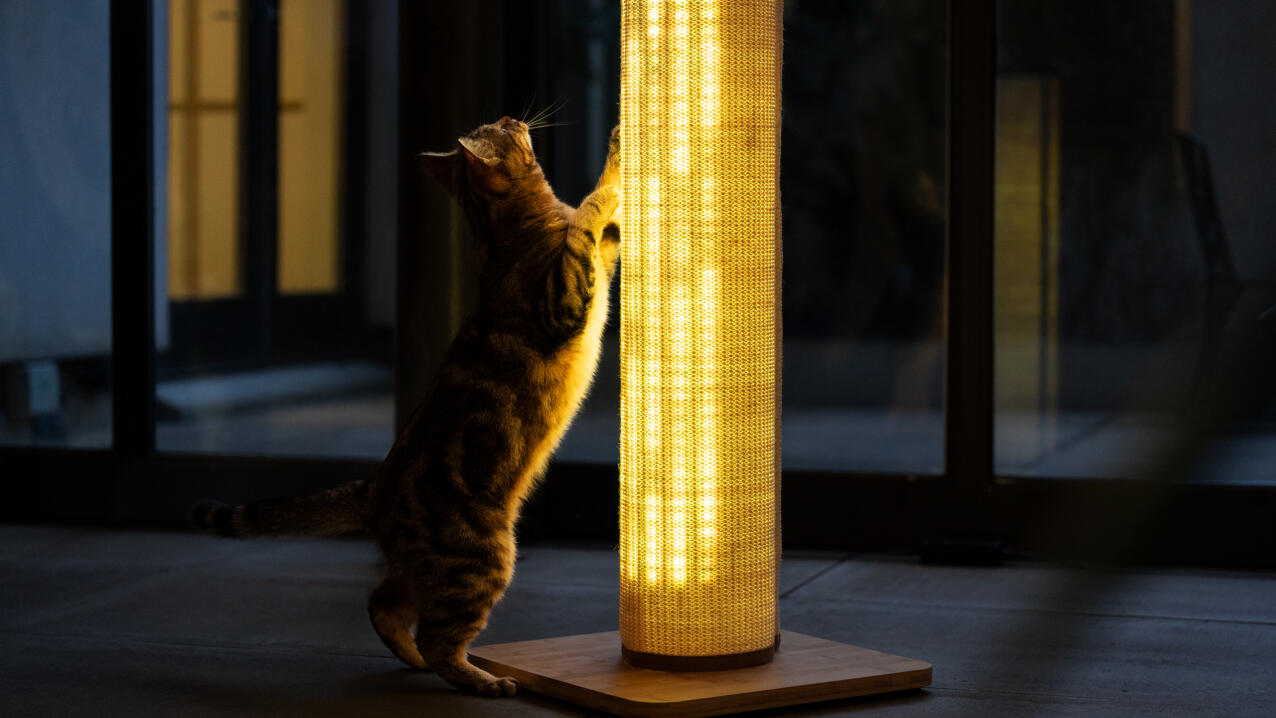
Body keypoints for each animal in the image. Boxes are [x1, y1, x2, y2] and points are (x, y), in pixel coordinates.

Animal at [192, 116, 622, 698]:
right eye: (500, 126)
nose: (516, 118)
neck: (506, 228)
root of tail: (377, 485)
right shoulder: (565, 296)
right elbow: (591, 214)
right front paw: (613, 158)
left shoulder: (599, 265)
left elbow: (606, 233)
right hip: (480, 560)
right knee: (440, 639)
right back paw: (481, 680)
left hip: (429, 566)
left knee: (383, 605)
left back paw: (410, 656)